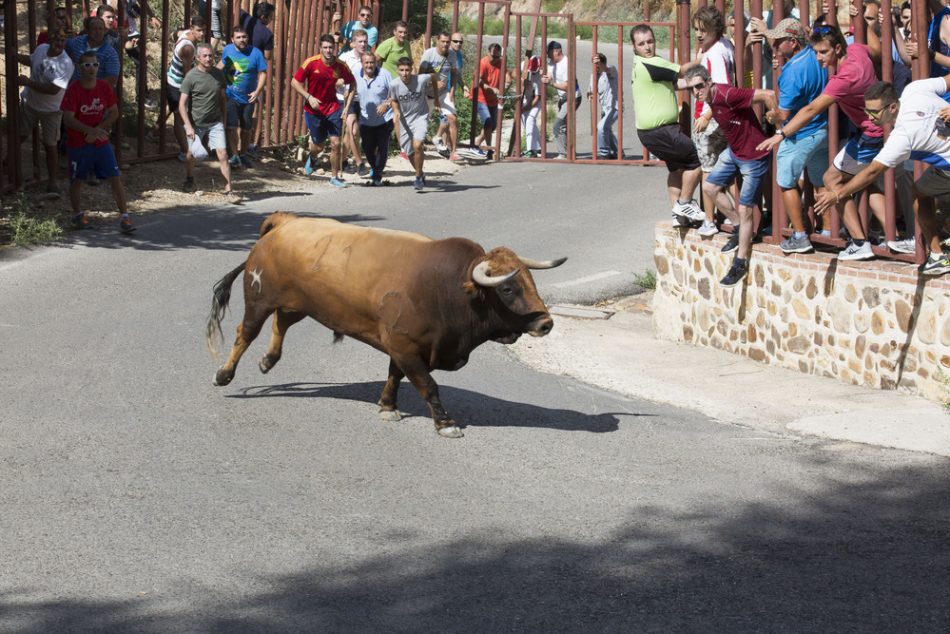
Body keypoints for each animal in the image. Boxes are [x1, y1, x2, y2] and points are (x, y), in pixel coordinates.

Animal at [206, 212, 564, 434]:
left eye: (530, 280)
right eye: (507, 288)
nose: (546, 323)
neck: (447, 286)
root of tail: (284, 221)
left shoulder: (403, 345)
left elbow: (396, 376)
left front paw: (387, 406)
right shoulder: (405, 346)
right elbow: (426, 384)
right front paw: (445, 423)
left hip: (300, 304)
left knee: (281, 322)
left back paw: (268, 361)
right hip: (258, 299)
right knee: (245, 333)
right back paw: (224, 374)